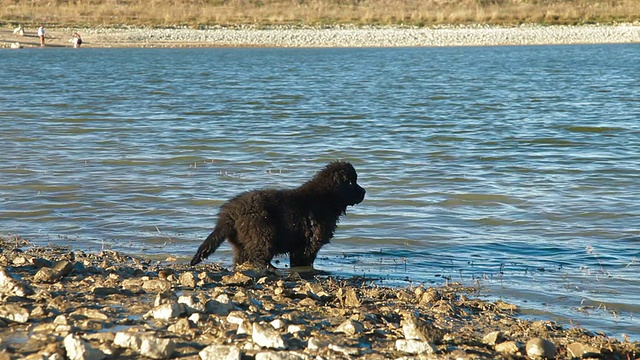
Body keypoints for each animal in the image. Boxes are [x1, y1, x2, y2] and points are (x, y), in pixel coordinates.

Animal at [190, 162, 364, 268]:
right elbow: (305, 259)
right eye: (352, 182)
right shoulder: (311, 241)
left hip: (241, 242)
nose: (364, 191)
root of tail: (230, 213)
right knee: (259, 255)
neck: (327, 197)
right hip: (263, 233)